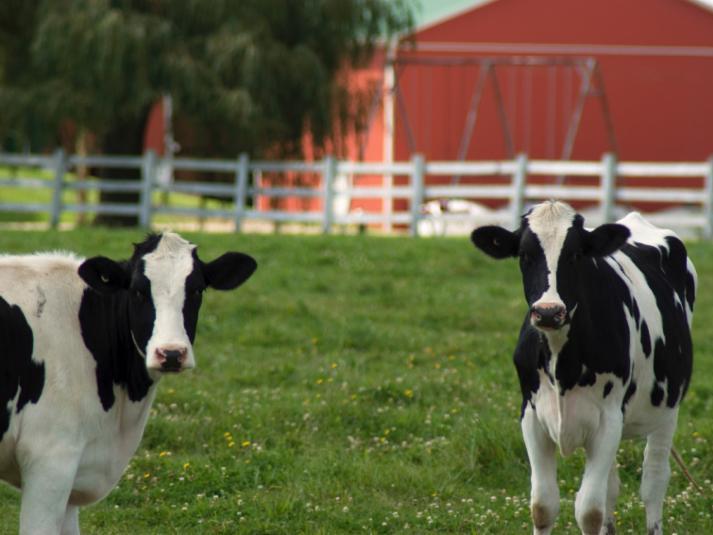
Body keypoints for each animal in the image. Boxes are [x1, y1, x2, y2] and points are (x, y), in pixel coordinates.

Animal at [471, 201, 696, 535]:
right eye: (524, 255)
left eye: (576, 255)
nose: (548, 312)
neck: (560, 359)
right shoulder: (532, 416)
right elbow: (543, 506)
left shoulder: (609, 420)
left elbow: (589, 511)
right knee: (611, 488)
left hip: (667, 408)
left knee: (654, 482)